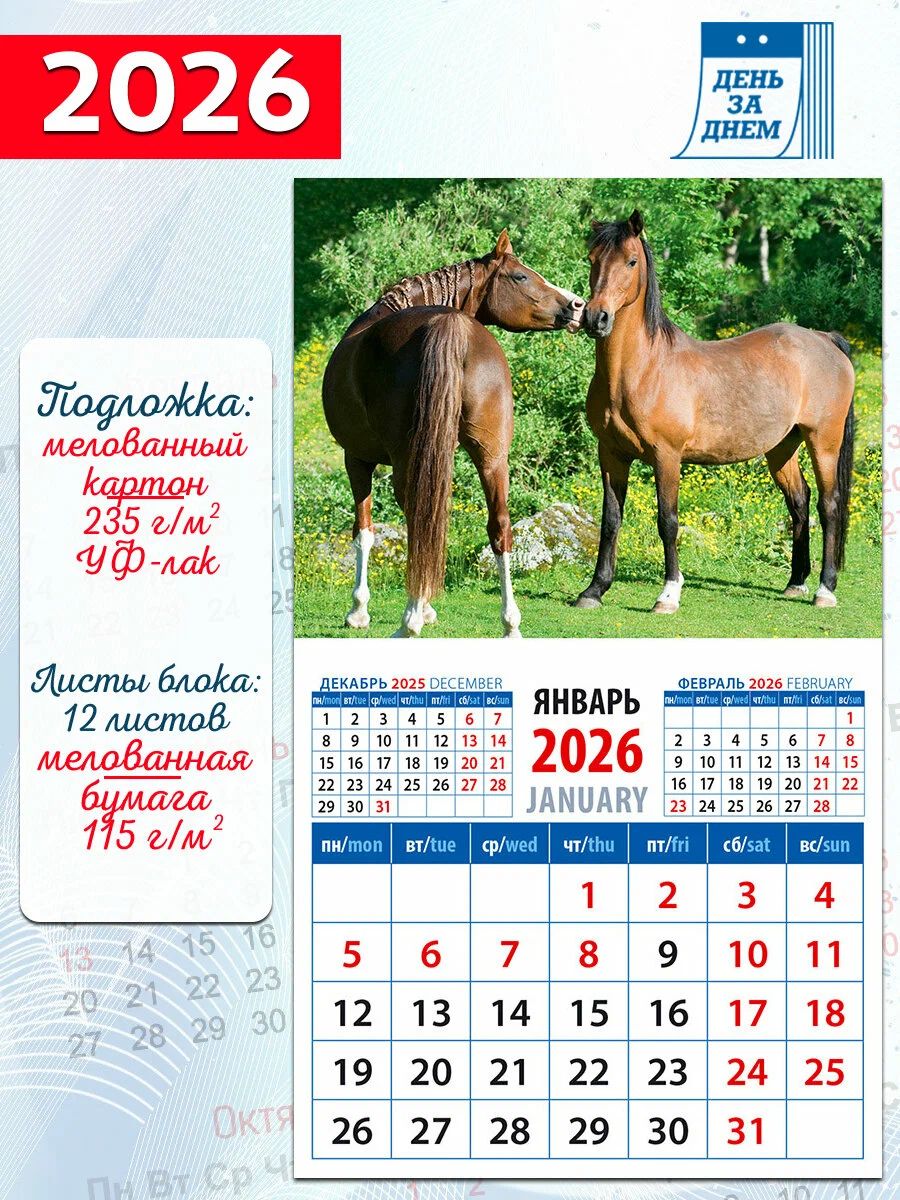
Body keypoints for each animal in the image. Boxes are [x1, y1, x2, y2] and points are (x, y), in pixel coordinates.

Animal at [321, 231, 585, 637]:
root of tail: (451, 326)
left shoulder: (357, 458)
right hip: (492, 456)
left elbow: (364, 531)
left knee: (419, 520)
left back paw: (410, 621)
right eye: (521, 276)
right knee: (499, 527)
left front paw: (359, 610)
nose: (577, 306)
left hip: (407, 459)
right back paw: (509, 623)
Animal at [574, 209, 855, 615]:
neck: (642, 369)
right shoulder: (611, 454)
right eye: (592, 259)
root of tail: (823, 338)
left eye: (630, 261)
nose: (596, 318)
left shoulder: (666, 456)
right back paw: (795, 582)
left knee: (828, 505)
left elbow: (668, 520)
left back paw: (825, 589)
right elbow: (611, 520)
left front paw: (668, 595)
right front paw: (594, 590)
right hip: (782, 448)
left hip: (824, 442)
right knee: (799, 502)